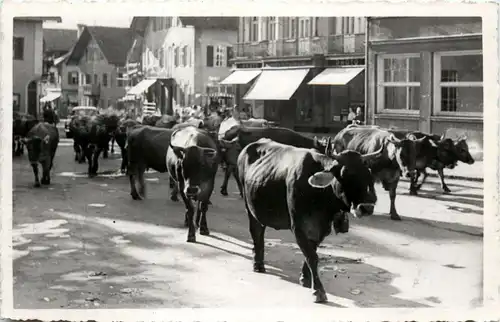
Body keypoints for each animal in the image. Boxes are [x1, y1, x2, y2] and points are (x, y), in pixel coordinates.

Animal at [236, 137, 380, 304]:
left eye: (369, 175)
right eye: (345, 174)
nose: (366, 207)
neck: (320, 196)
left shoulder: (321, 229)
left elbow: (311, 252)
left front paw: (305, 278)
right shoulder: (298, 227)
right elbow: (312, 257)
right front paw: (318, 290)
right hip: (249, 207)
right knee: (257, 232)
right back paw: (258, 264)